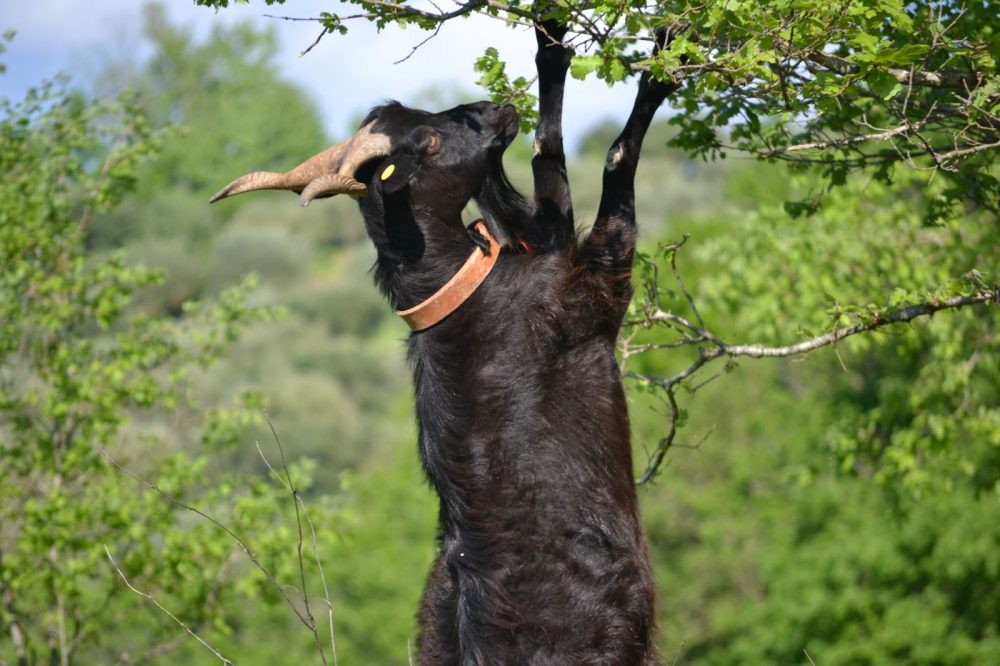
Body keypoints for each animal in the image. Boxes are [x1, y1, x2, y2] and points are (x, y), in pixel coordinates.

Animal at [211, 18, 680, 660]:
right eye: (431, 137)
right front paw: (661, 59)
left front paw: (550, 34)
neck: (462, 285)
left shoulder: (548, 244)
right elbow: (602, 157)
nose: (493, 108)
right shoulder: (591, 293)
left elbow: (542, 173)